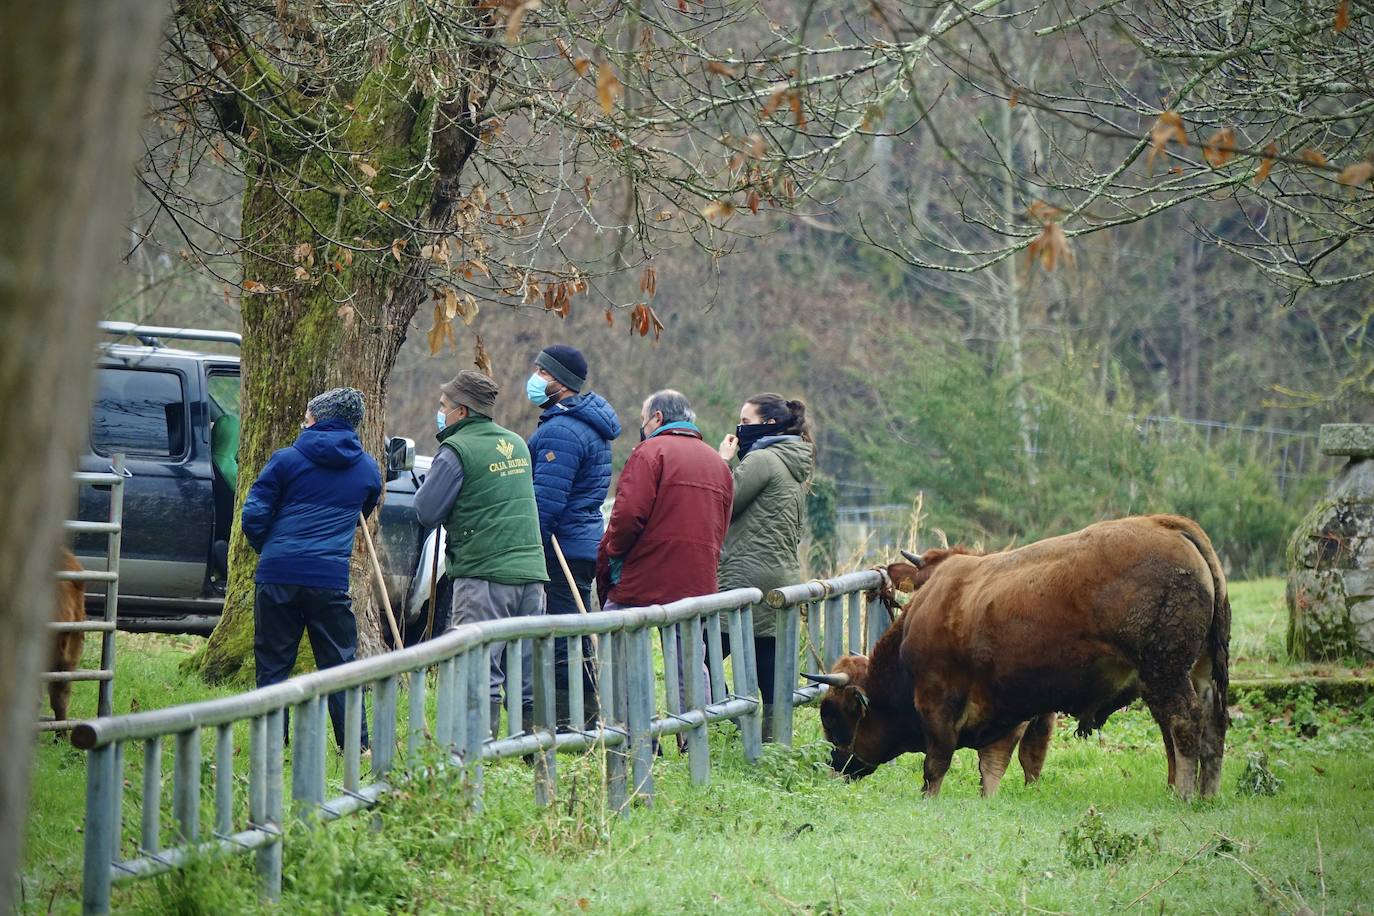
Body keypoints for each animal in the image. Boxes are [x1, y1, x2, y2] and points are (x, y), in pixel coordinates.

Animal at [807, 516, 1231, 802]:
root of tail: (1168, 526)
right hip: (1198, 671)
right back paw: (1206, 794)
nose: (835, 767)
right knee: (1212, 724)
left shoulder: (937, 702)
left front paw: (929, 799)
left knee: (1183, 724)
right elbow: (1000, 762)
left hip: (1165, 673)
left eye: (833, 716)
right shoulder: (1007, 710)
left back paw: (1184, 794)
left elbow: (938, 761)